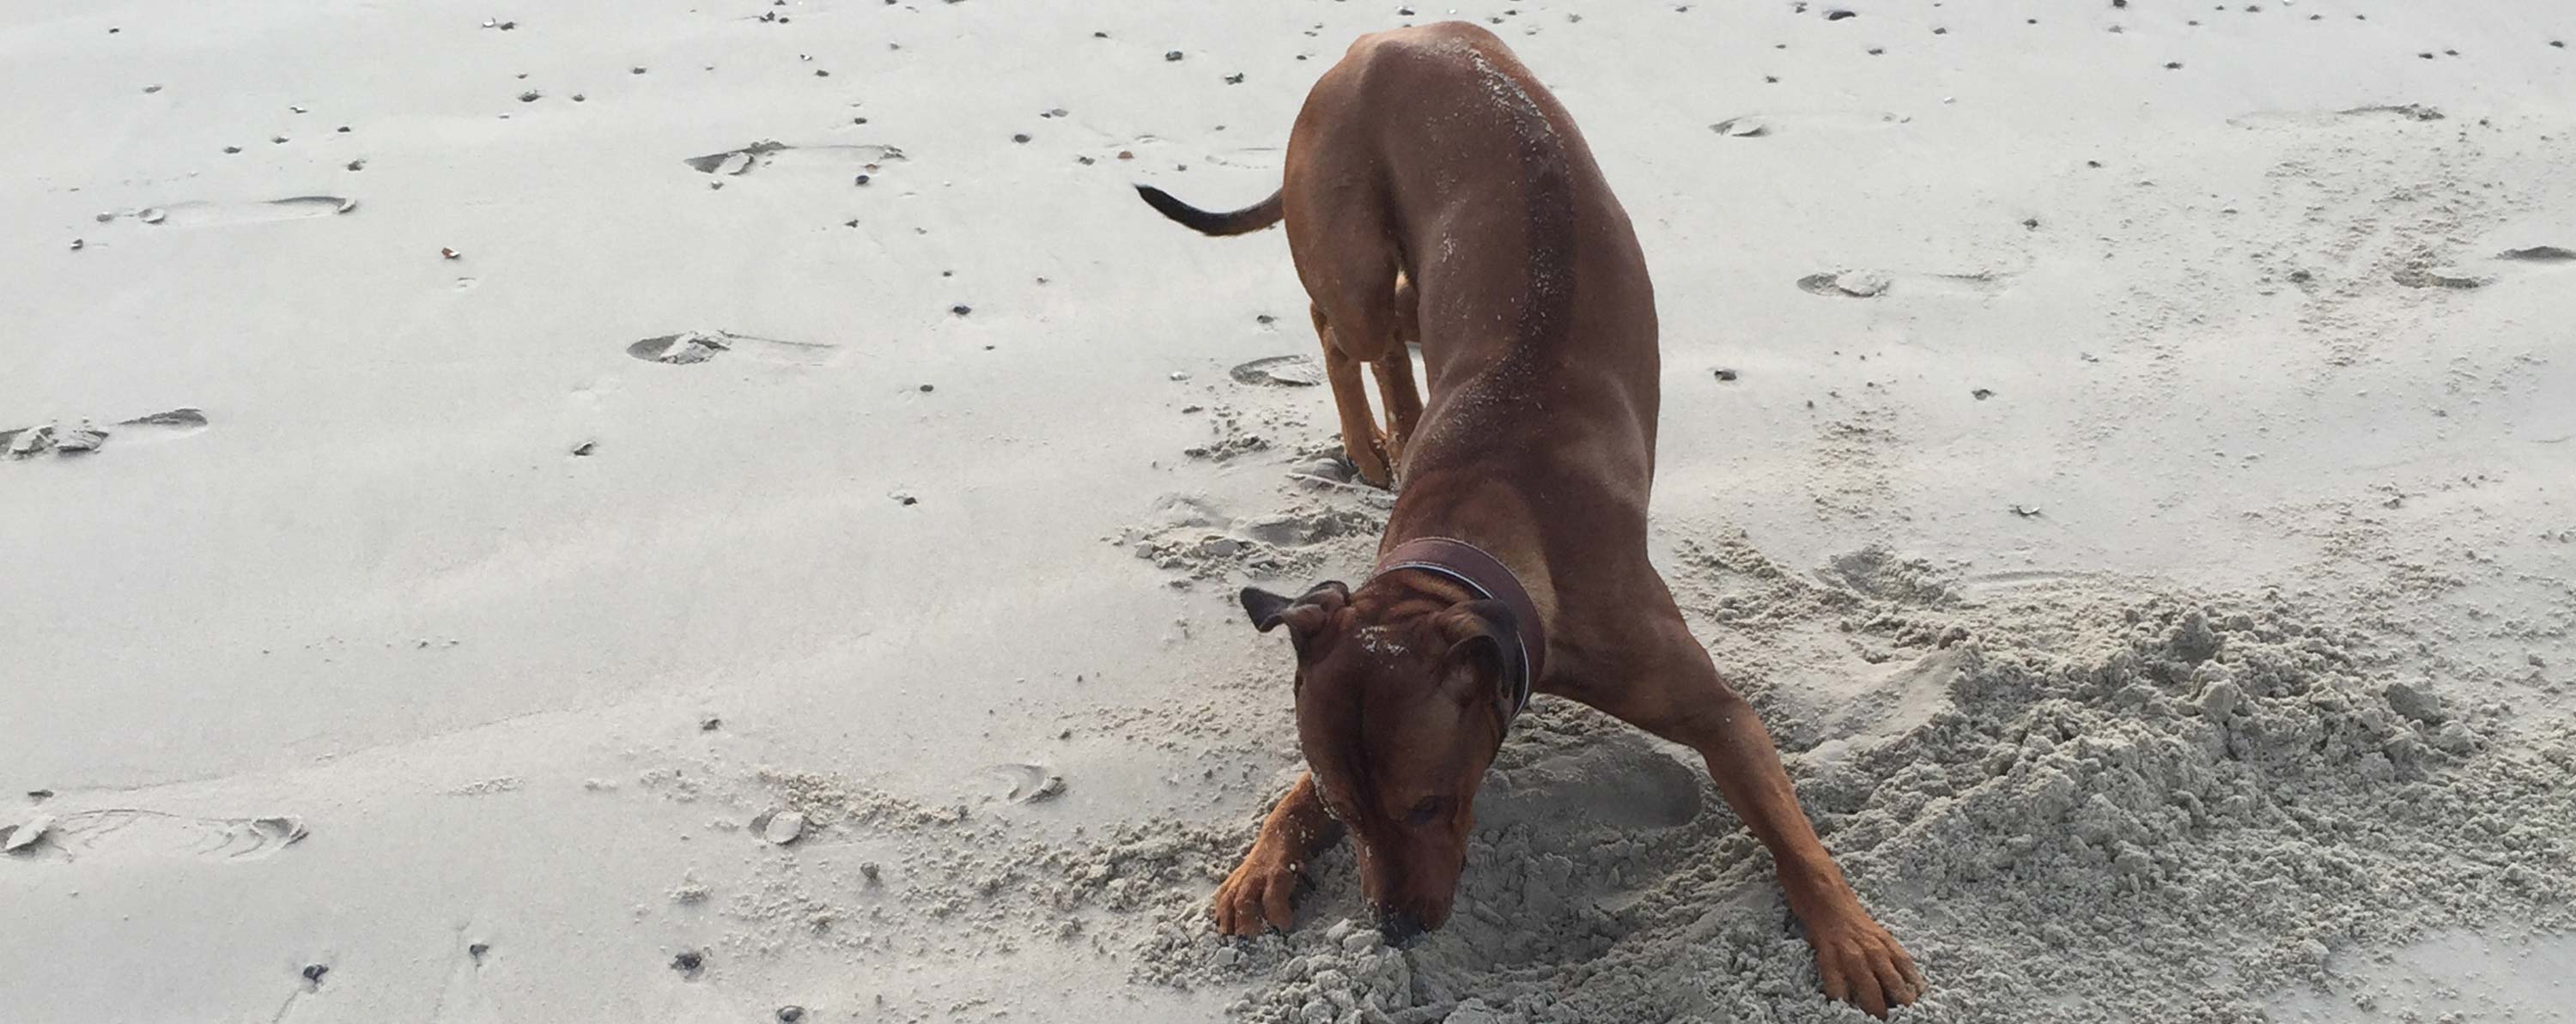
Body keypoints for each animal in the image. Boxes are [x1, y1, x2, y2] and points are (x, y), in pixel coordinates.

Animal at [1139, 21, 1927, 1014]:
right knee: (1346, 325)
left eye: (1429, 802)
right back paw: (1374, 439)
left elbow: (1792, 834)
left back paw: (1387, 435)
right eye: (1345, 809)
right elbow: (1293, 789)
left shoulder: (1716, 708)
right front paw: (1261, 860)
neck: (1476, 538)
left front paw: (1850, 934)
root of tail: (1382, 39)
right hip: (1355, 247)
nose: (1394, 928)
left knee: (1368, 332)